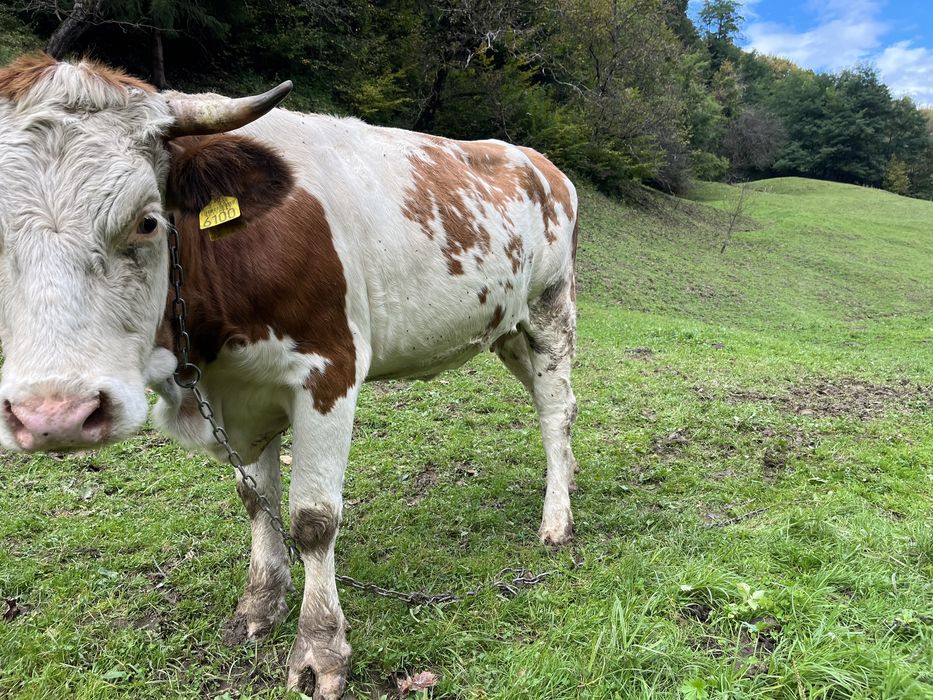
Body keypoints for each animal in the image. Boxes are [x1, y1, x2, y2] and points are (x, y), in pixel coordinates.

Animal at [0, 54, 578, 698]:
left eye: (148, 222)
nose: (56, 415)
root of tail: (538, 161)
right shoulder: (239, 396)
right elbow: (256, 499)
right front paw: (259, 605)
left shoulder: (329, 371)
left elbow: (312, 519)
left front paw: (320, 650)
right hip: (507, 328)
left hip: (551, 310)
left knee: (557, 408)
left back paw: (556, 519)